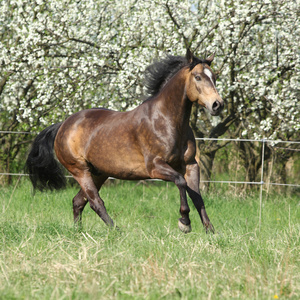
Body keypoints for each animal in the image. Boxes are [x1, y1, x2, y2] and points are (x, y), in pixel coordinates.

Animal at [25, 49, 223, 233]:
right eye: (198, 77)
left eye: (214, 77)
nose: (217, 105)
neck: (167, 121)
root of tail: (63, 125)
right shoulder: (155, 167)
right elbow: (180, 182)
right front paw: (184, 222)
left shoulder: (191, 165)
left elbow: (197, 196)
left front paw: (210, 230)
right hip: (79, 170)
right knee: (95, 201)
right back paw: (116, 231)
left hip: (99, 173)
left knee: (78, 201)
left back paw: (79, 231)